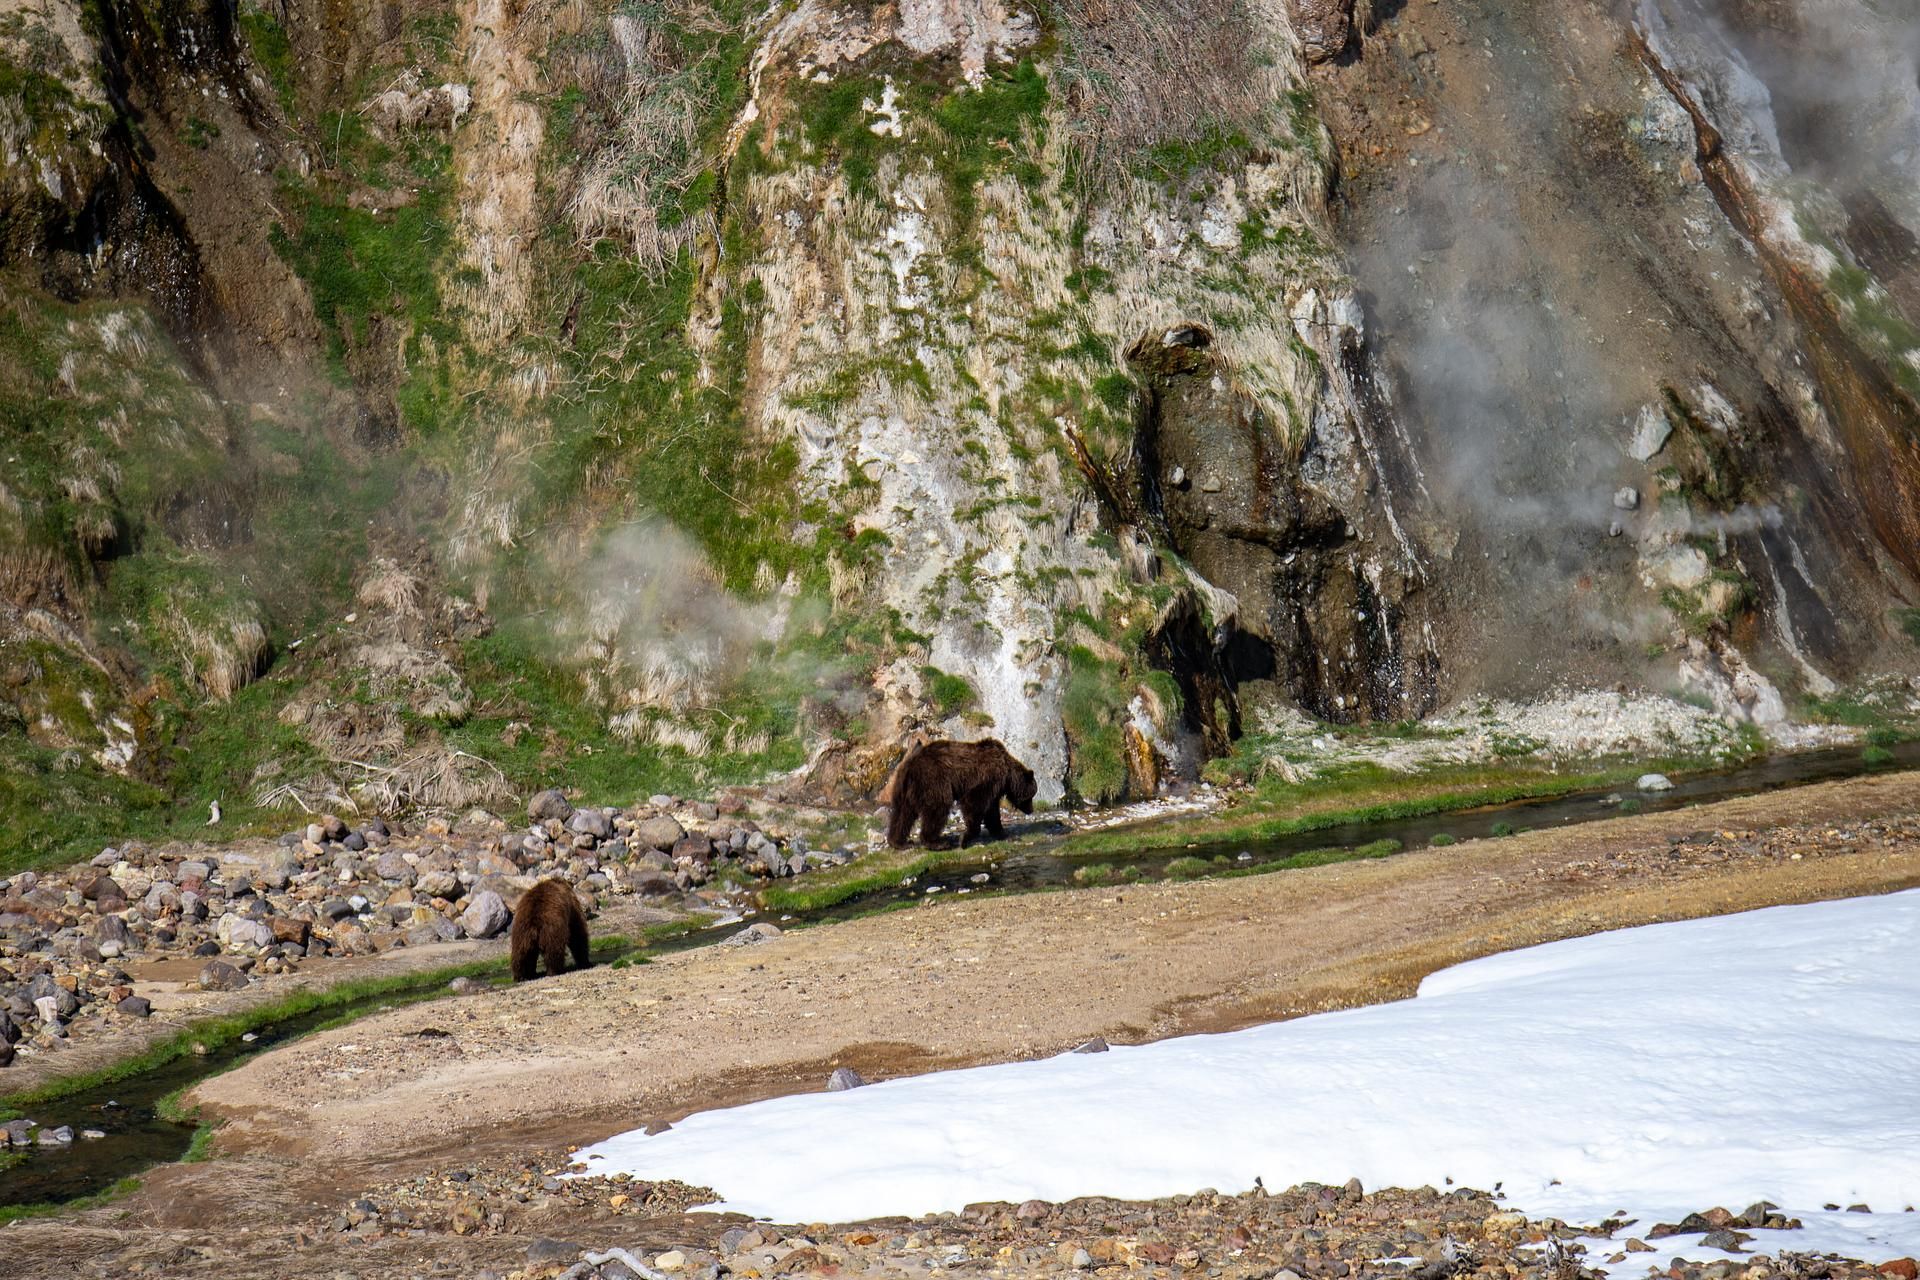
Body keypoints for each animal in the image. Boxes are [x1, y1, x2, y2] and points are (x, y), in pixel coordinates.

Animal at [883, 740, 1036, 852]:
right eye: (1032, 795)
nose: (1031, 810)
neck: (1008, 776)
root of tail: (912, 764)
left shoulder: (994, 790)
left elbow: (992, 814)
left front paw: (1005, 835)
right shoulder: (988, 779)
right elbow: (973, 803)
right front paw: (964, 838)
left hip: (903, 787)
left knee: (902, 813)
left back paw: (899, 842)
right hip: (933, 780)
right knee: (937, 807)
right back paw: (937, 843)